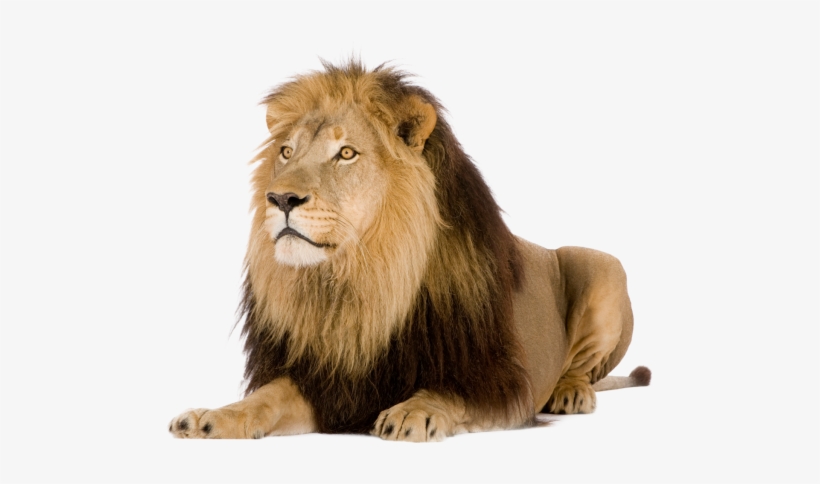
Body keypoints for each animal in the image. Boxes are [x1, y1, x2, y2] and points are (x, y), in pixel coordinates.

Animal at [169, 61, 650, 441]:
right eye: (287, 152)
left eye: (346, 153)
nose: (281, 198)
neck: (358, 278)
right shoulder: (328, 384)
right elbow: (266, 397)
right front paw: (214, 417)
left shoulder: (500, 383)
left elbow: (447, 392)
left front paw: (412, 412)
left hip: (602, 264)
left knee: (583, 368)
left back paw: (570, 392)